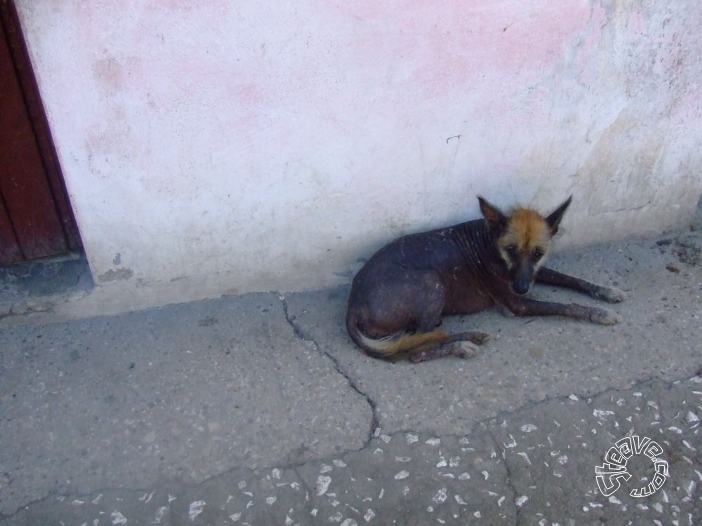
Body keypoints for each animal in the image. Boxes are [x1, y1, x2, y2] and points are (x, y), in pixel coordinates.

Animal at [346, 196, 628, 366]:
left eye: (538, 253)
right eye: (511, 250)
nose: (522, 288)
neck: (490, 243)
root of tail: (352, 305)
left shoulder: (534, 274)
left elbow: (572, 279)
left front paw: (606, 292)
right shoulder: (518, 304)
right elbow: (564, 306)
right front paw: (599, 313)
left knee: (424, 336)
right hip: (431, 281)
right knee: (417, 348)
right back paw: (462, 344)